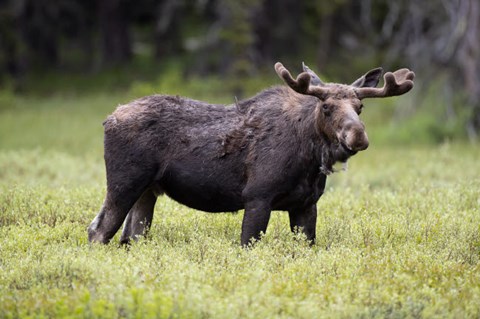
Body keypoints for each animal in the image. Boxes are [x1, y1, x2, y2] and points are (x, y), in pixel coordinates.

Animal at [88, 63, 414, 248]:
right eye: (326, 107)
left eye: (360, 107)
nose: (358, 136)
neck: (309, 161)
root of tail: (107, 119)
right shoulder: (257, 197)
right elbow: (248, 245)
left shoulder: (306, 205)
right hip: (124, 183)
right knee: (97, 231)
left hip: (148, 192)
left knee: (129, 238)